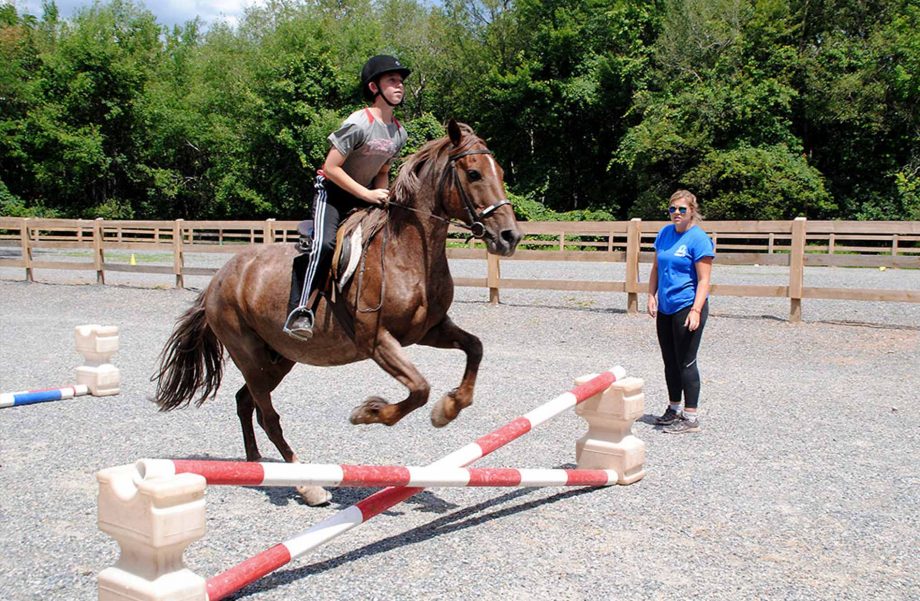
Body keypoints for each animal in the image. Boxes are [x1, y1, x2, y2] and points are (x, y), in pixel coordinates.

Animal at [152, 120, 523, 505]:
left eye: (500, 172)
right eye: (474, 173)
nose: (509, 236)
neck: (407, 252)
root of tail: (219, 277)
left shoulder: (430, 330)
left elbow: (475, 348)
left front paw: (448, 409)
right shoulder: (376, 340)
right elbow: (420, 388)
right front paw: (369, 413)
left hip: (279, 357)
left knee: (245, 402)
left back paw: (258, 465)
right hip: (249, 354)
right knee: (267, 415)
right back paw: (306, 484)